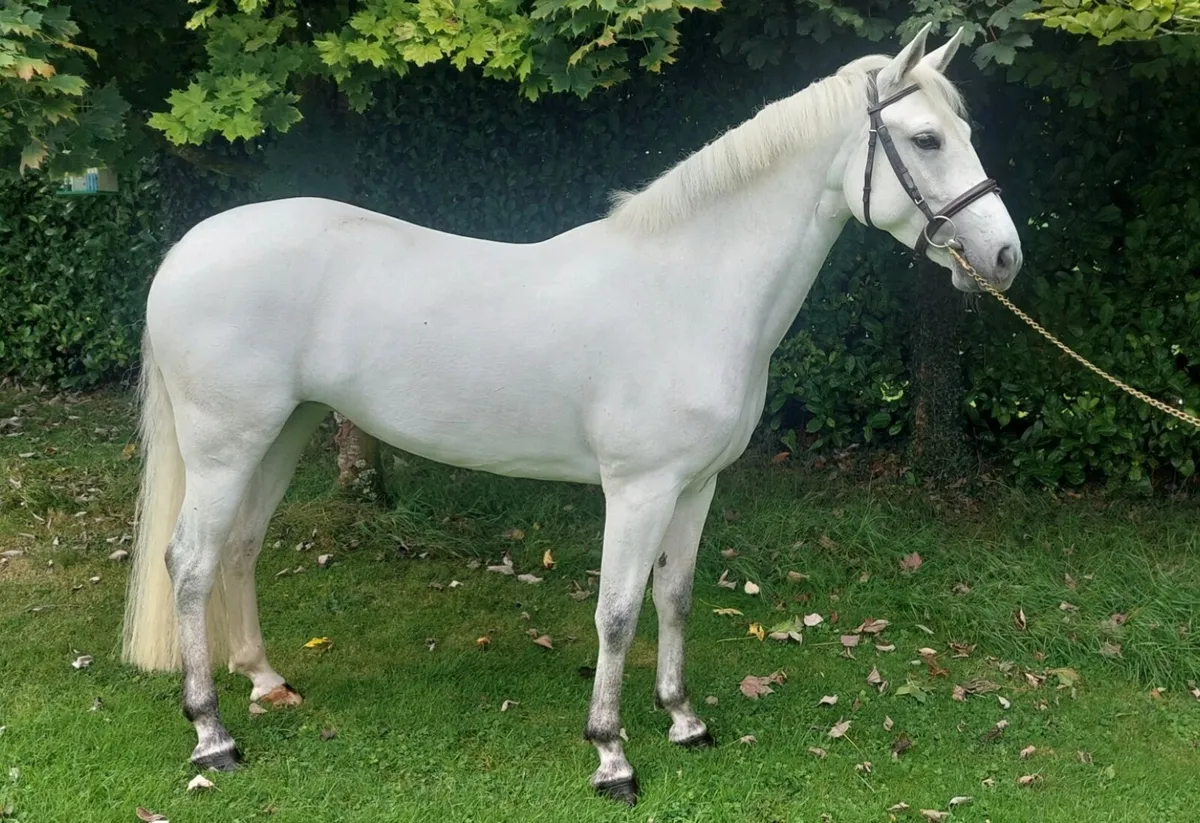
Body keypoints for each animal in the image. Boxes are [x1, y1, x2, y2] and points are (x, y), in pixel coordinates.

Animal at [121, 24, 1022, 805]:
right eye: (927, 140)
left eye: (967, 130)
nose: (1005, 255)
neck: (688, 288)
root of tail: (188, 249)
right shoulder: (638, 488)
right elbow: (617, 613)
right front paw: (612, 755)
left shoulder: (695, 487)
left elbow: (676, 596)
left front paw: (684, 720)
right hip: (225, 447)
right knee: (190, 562)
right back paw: (212, 736)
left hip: (282, 432)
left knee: (240, 548)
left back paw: (267, 682)